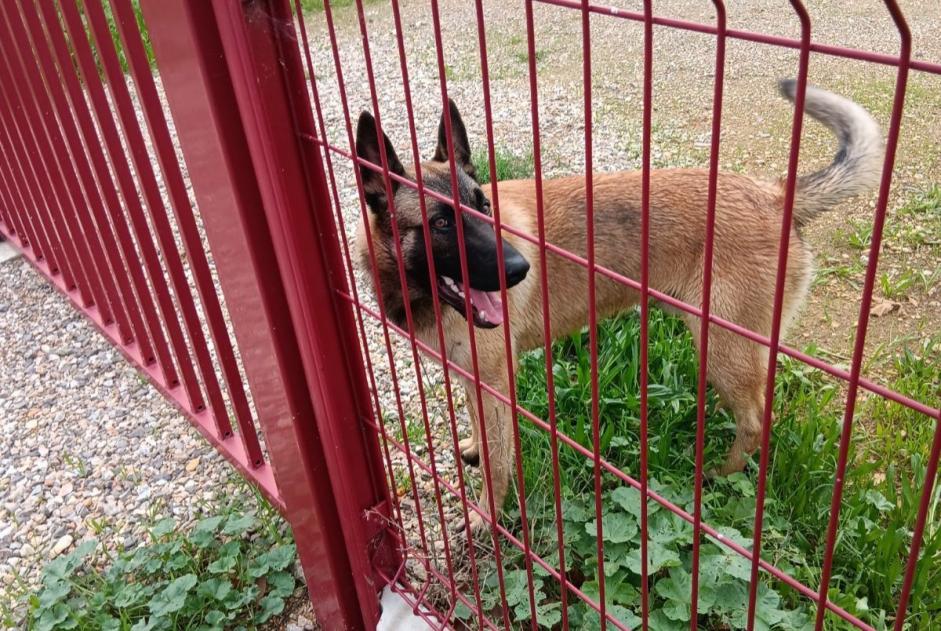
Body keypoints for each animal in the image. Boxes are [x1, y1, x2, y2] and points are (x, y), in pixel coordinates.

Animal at [352, 80, 880, 532]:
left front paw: (487, 516)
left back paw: (719, 476)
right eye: (441, 223)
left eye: (483, 207)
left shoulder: (498, 381)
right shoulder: (474, 379)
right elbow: (484, 436)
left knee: (755, 422)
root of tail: (775, 195)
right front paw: (473, 451)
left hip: (722, 348)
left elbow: (500, 463)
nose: (522, 267)